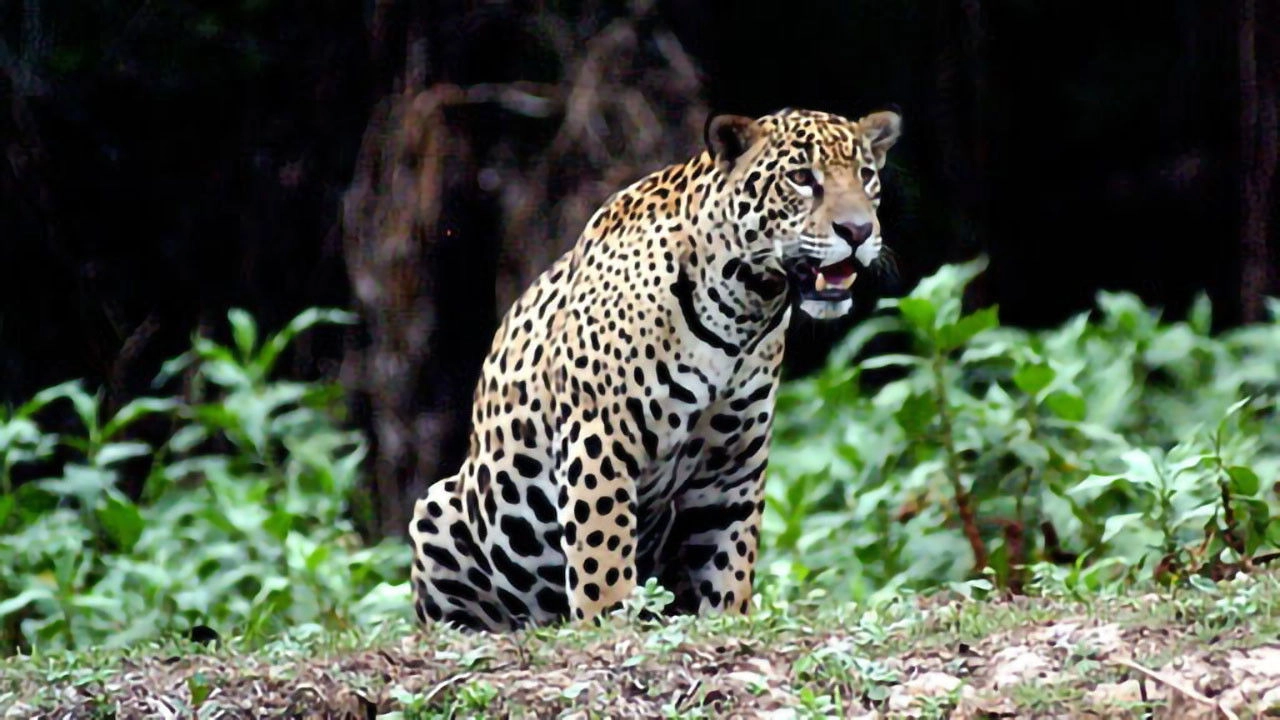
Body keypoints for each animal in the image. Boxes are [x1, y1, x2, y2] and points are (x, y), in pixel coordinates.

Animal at [409, 107, 902, 631]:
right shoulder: (600, 438)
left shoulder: (734, 465)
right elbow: (601, 549)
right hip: (441, 509)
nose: (858, 231)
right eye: (802, 178)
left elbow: (730, 560)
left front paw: (727, 620)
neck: (743, 309)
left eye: (866, 176)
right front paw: (606, 623)